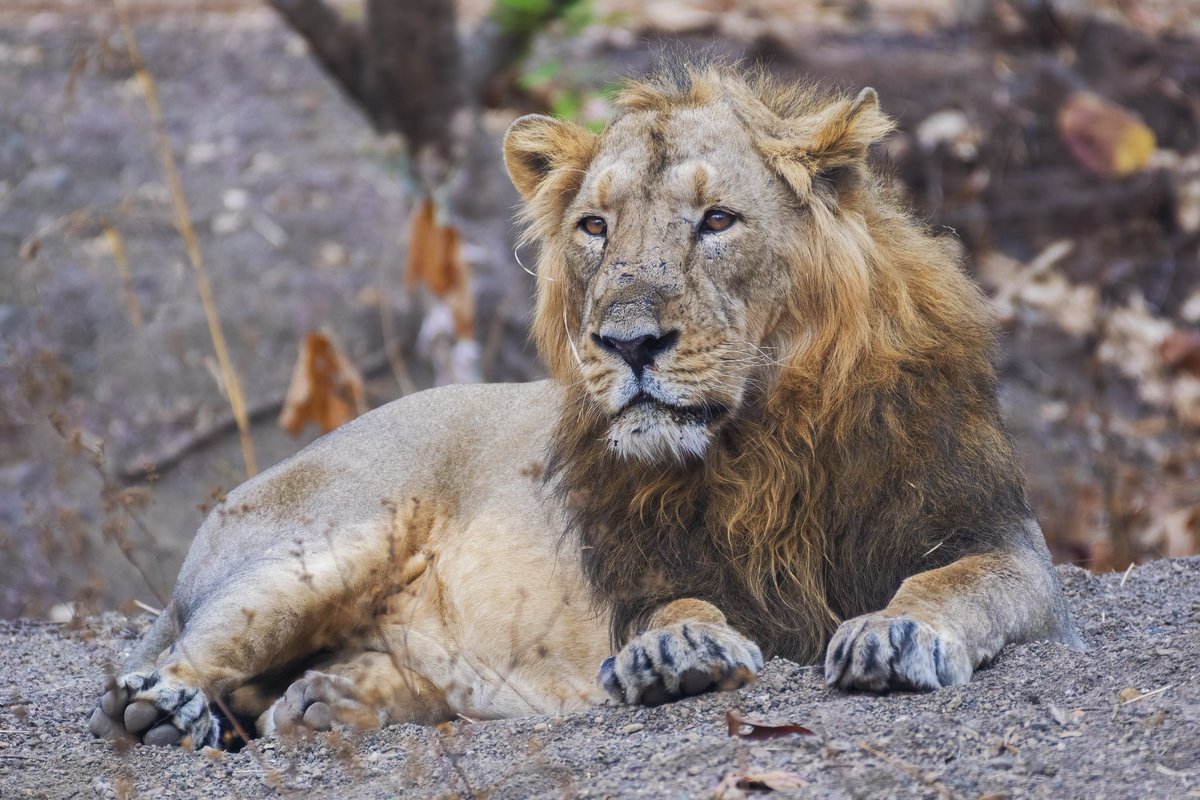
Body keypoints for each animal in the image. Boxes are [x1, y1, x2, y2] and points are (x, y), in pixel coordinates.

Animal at [88, 62, 1080, 750]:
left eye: (718, 221)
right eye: (594, 228)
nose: (628, 343)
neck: (768, 438)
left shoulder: (994, 535)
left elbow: (951, 583)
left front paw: (895, 633)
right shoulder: (639, 575)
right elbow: (675, 608)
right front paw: (676, 656)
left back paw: (329, 703)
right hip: (330, 540)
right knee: (175, 655)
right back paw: (169, 711)